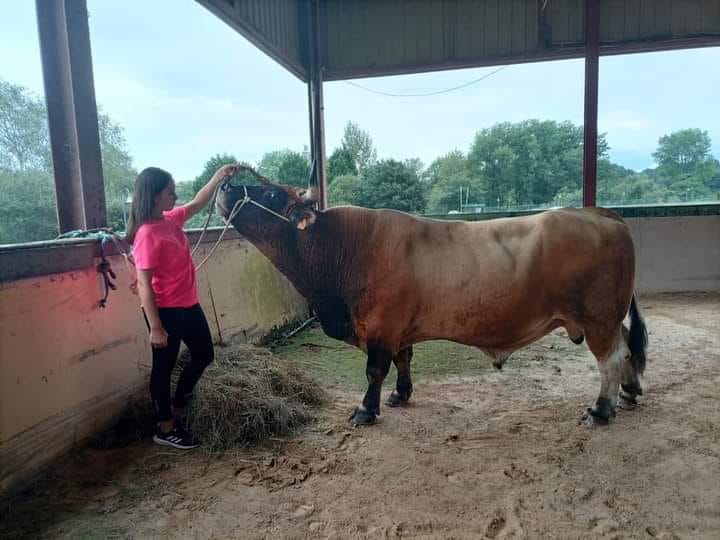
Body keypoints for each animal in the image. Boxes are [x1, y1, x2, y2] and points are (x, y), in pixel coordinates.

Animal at [217, 177, 648, 426]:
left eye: (270, 192)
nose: (225, 187)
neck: (346, 247)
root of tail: (599, 213)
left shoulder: (379, 327)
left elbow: (374, 371)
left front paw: (366, 410)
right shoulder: (398, 329)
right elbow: (403, 361)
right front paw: (400, 395)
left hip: (597, 317)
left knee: (612, 357)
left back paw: (601, 409)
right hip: (609, 317)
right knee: (628, 347)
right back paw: (628, 392)